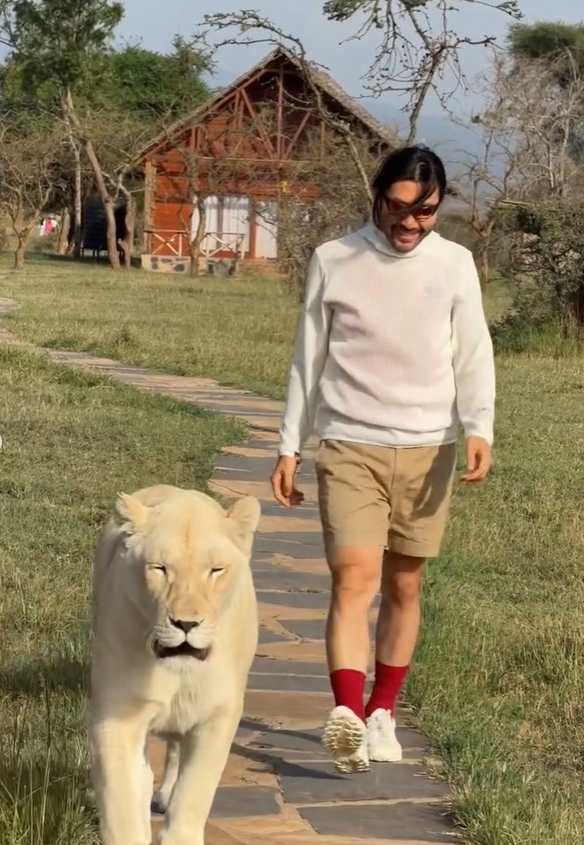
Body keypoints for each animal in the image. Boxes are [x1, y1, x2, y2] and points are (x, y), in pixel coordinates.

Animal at [87, 484, 261, 845]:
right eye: (160, 568)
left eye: (215, 570)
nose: (186, 623)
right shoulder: (117, 714)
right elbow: (121, 802)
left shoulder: (217, 715)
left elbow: (194, 792)